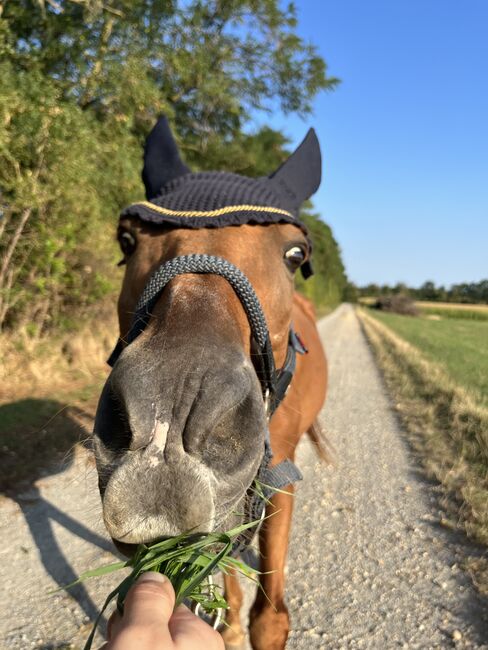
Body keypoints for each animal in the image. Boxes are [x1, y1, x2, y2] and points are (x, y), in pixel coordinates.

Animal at [91, 117, 328, 648]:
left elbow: (270, 618)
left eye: (295, 252)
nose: (170, 424)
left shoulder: (279, 481)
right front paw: (226, 618)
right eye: (127, 240)